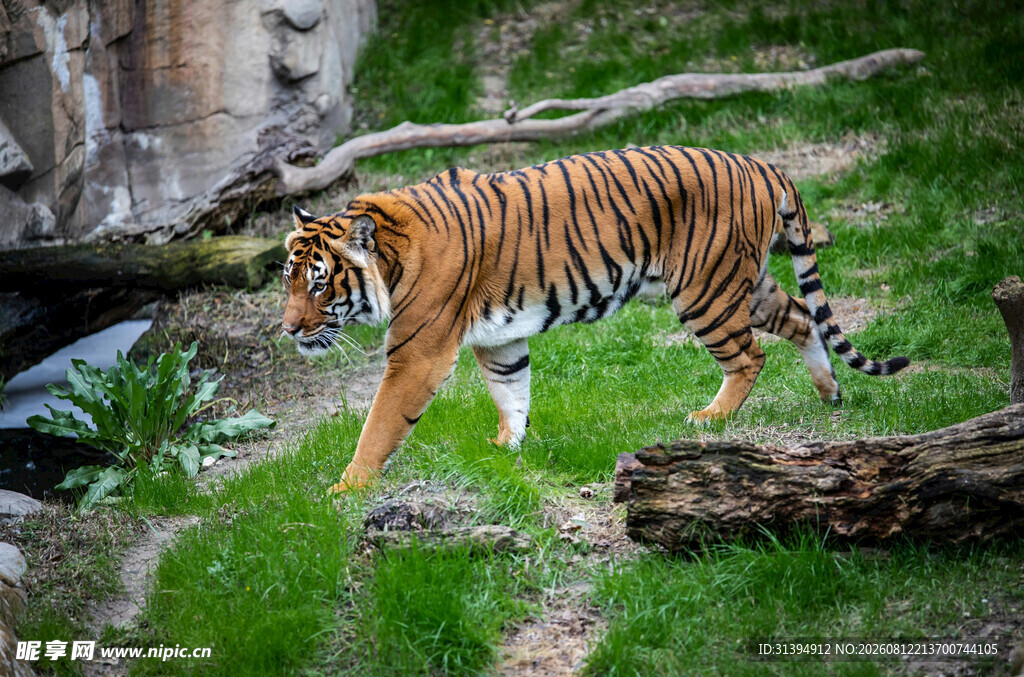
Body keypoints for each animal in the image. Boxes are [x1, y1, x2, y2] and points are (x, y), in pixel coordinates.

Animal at [281, 146, 909, 492]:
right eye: (286, 278)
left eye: (319, 283)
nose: (288, 329)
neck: (388, 256)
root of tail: (759, 163)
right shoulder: (497, 340)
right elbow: (511, 392)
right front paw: (507, 448)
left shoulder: (418, 353)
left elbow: (379, 425)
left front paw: (345, 490)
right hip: (744, 282)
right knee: (803, 316)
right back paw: (829, 394)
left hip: (703, 290)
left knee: (750, 354)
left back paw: (711, 417)